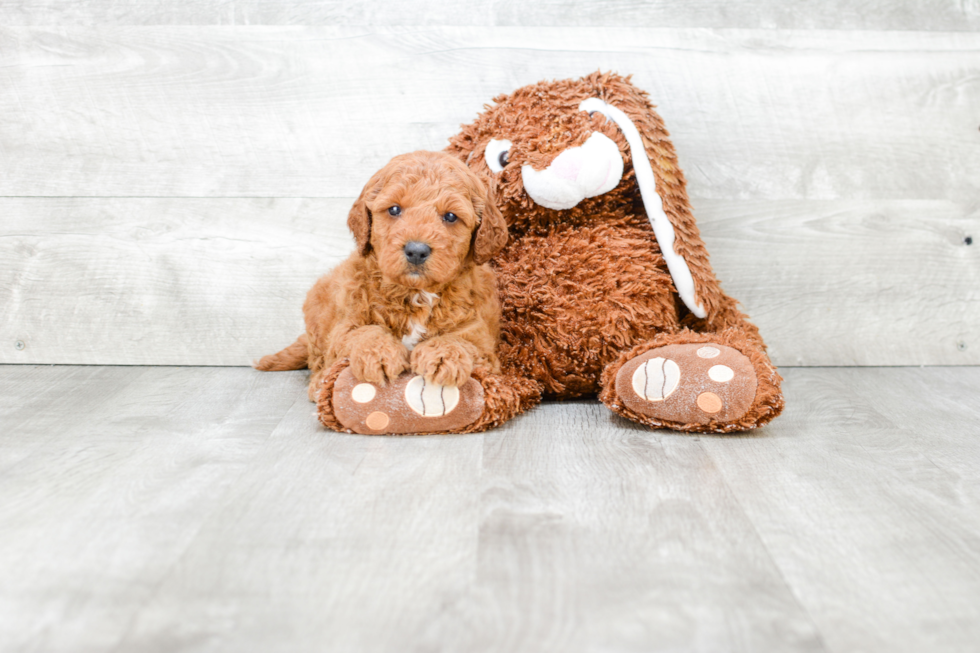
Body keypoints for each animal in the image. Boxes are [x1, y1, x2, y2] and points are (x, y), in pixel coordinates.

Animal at [256, 149, 540, 432]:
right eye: (394, 209)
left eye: (450, 216)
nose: (416, 250)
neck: (416, 293)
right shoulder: (344, 325)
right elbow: (363, 332)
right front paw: (379, 354)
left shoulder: (484, 341)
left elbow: (463, 340)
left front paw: (442, 356)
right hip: (316, 312)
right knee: (318, 360)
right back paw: (318, 383)